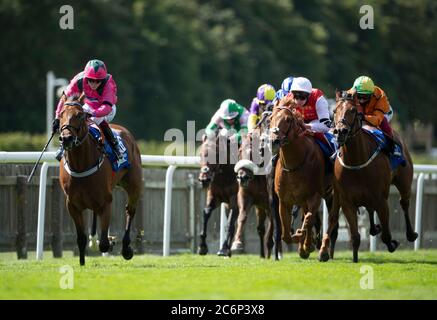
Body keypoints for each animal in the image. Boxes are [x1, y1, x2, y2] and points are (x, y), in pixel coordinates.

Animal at [57, 96, 142, 266]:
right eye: (61, 113)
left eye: (80, 115)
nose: (66, 138)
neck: (80, 165)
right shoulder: (72, 205)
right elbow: (81, 239)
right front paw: (82, 262)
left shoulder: (106, 202)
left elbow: (104, 243)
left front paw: (110, 242)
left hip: (133, 185)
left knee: (130, 210)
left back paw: (126, 248)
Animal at [268, 100, 332, 260]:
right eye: (271, 118)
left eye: (288, 120)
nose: (274, 141)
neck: (294, 165)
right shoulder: (284, 201)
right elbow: (285, 234)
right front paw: (299, 239)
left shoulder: (314, 196)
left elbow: (309, 220)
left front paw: (306, 243)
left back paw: (322, 250)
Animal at [320, 90, 416, 262]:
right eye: (335, 110)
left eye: (353, 111)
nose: (340, 131)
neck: (356, 162)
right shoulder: (347, 201)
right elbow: (355, 235)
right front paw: (355, 258)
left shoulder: (382, 200)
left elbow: (386, 235)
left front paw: (392, 243)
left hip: (404, 182)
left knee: (404, 203)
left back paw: (411, 234)